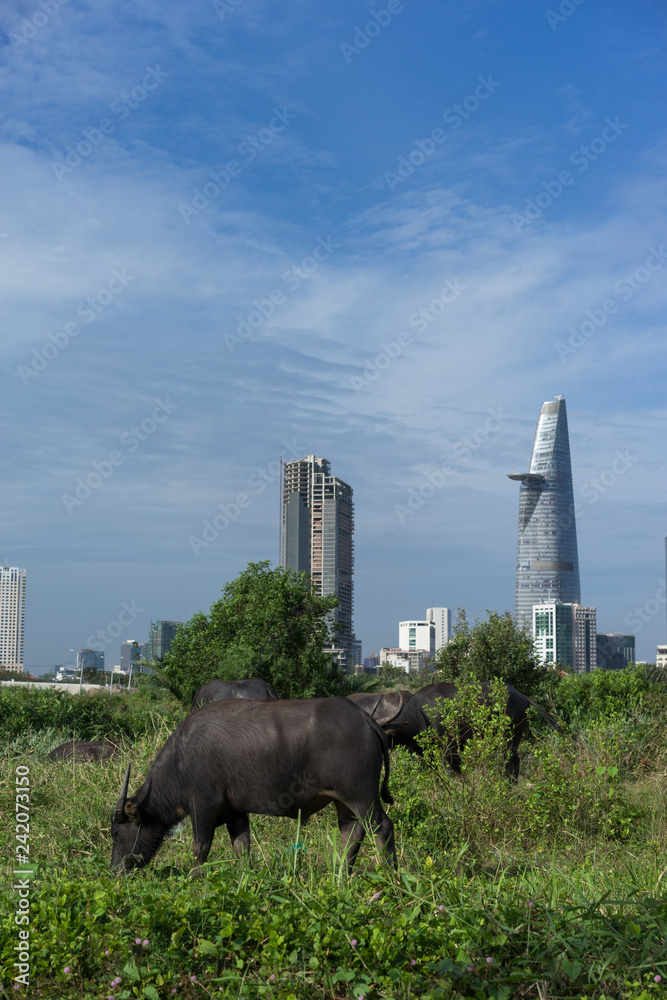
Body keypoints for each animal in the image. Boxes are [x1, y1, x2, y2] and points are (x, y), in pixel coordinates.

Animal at [111, 696, 396, 876]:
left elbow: (200, 848)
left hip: (362, 797)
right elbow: (242, 847)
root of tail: (365, 720)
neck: (180, 761)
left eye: (115, 833)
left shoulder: (202, 807)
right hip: (344, 802)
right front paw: (244, 880)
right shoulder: (235, 812)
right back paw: (341, 877)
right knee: (351, 834)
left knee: (382, 828)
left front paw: (195, 880)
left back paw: (391, 876)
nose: (115, 871)